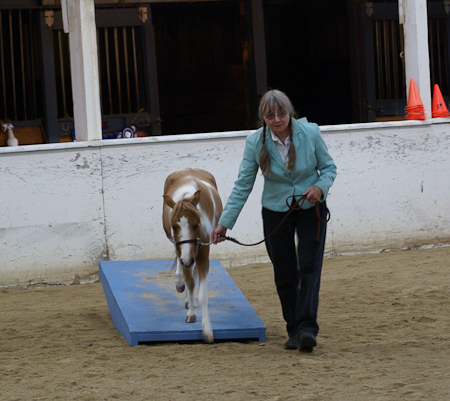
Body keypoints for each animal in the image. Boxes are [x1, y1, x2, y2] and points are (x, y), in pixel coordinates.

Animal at [163, 167, 223, 342]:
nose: (187, 260)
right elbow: (189, 283)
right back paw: (180, 285)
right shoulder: (182, 251)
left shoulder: (202, 255)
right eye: (174, 226)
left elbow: (202, 295)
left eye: (196, 224)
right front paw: (191, 312)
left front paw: (207, 330)